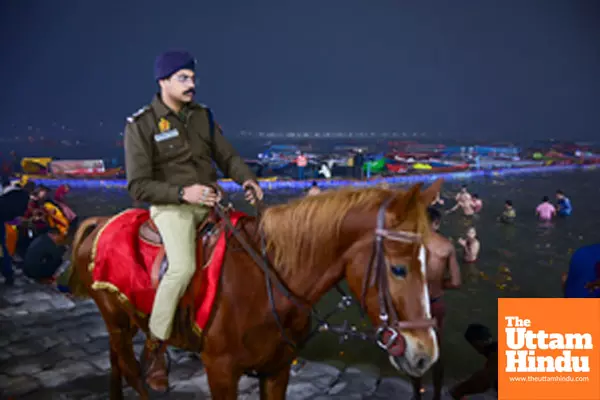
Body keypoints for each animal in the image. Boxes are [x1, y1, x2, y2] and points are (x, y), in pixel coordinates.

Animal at [70, 180, 442, 398]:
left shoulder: (277, 370)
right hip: (116, 321)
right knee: (131, 371)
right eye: (398, 268)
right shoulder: (220, 372)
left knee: (117, 364)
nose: (425, 354)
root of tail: (101, 223)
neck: (266, 286)